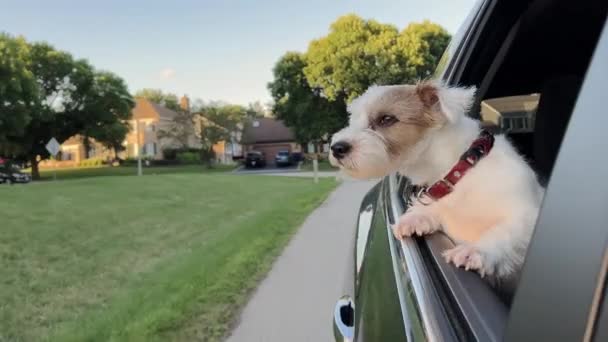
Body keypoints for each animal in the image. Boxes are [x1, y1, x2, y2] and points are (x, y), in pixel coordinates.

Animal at [330, 81, 544, 280]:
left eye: (387, 119)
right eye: (353, 119)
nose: (336, 148)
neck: (460, 170)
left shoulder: (527, 215)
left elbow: (505, 233)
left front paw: (476, 251)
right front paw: (414, 218)